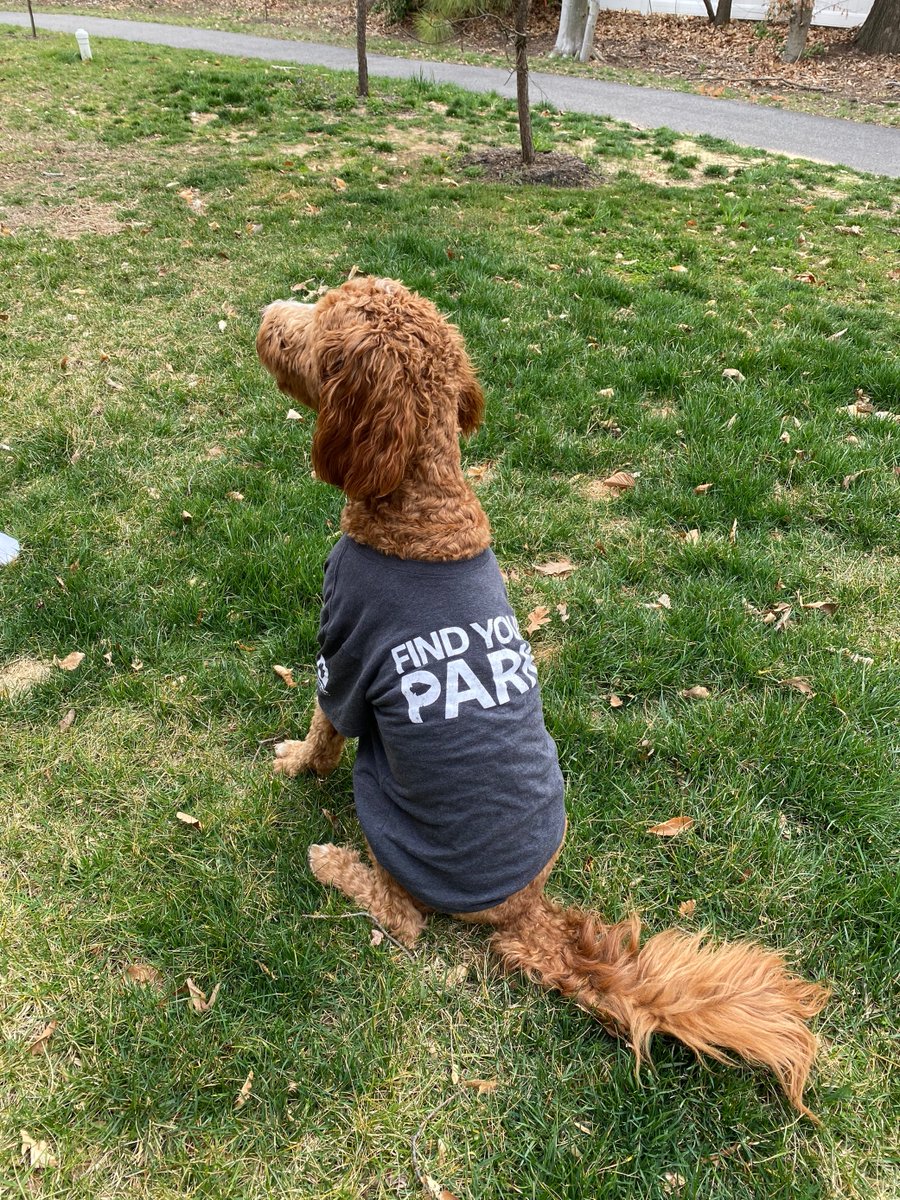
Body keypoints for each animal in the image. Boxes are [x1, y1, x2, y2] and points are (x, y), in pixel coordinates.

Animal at [256, 276, 830, 1118]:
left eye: (323, 327)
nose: (268, 317)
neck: (423, 504)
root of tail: (524, 911)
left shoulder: (345, 661)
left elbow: (322, 733)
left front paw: (293, 761)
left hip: (386, 811)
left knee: (403, 918)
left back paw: (333, 862)